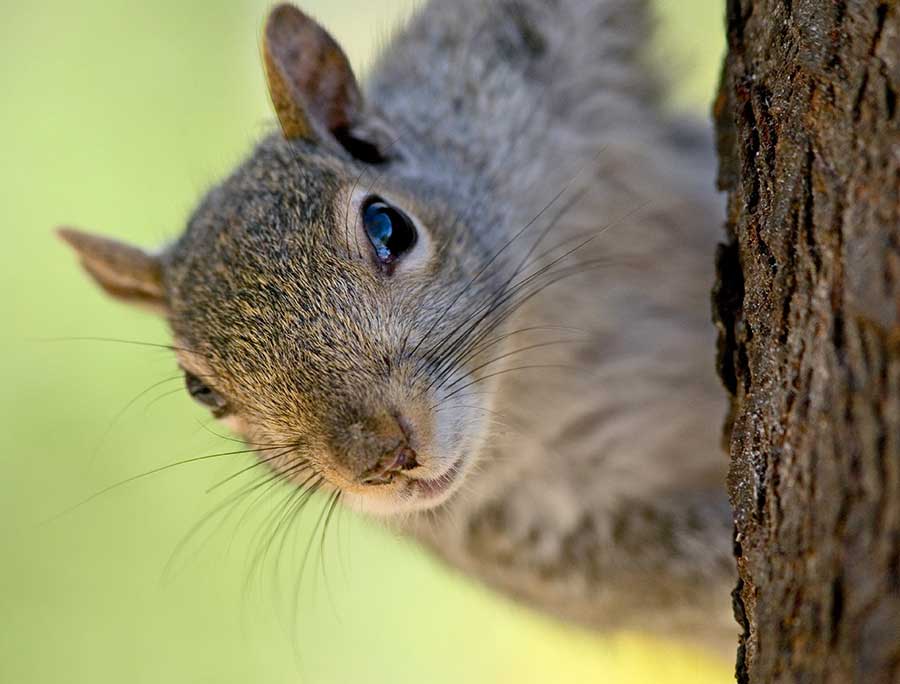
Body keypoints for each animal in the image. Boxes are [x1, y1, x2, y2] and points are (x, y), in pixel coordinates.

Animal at [61, 0, 740, 652]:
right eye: (202, 392)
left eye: (388, 225)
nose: (381, 459)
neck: (528, 375)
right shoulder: (515, 539)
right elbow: (661, 580)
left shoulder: (493, 81)